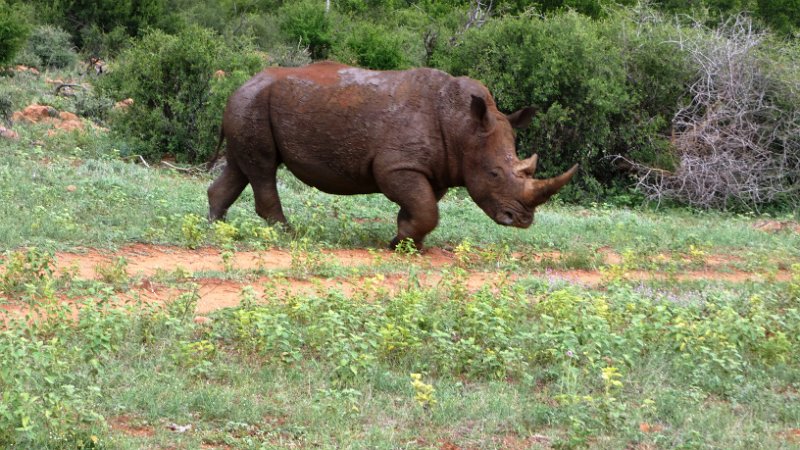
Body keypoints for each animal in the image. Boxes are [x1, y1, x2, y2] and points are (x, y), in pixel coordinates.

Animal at [208, 61, 578, 249]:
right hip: (253, 102)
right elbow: (426, 209)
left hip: (249, 104)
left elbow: (422, 206)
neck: (464, 125)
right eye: (494, 174)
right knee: (263, 168)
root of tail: (238, 86)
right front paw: (400, 243)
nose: (523, 220)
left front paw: (403, 241)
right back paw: (288, 234)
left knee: (243, 166)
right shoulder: (397, 165)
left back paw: (215, 226)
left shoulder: (433, 168)